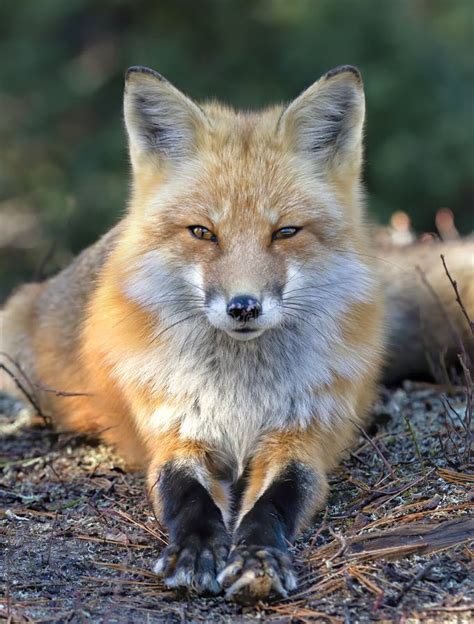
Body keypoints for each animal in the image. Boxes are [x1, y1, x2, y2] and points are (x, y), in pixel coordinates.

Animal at [0, 66, 474, 604]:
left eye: (285, 232)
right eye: (203, 233)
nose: (244, 307)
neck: (241, 395)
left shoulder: (303, 439)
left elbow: (275, 502)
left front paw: (258, 557)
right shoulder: (174, 435)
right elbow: (187, 497)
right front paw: (196, 551)